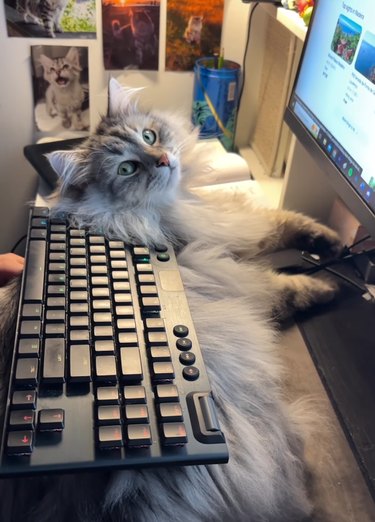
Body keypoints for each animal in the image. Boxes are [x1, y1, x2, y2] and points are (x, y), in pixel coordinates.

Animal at [0, 78, 342, 520]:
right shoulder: (229, 264)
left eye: (149, 136)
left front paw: (332, 243)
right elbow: (286, 281)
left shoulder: (225, 221)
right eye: (127, 168)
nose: (163, 159)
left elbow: (286, 222)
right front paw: (330, 286)